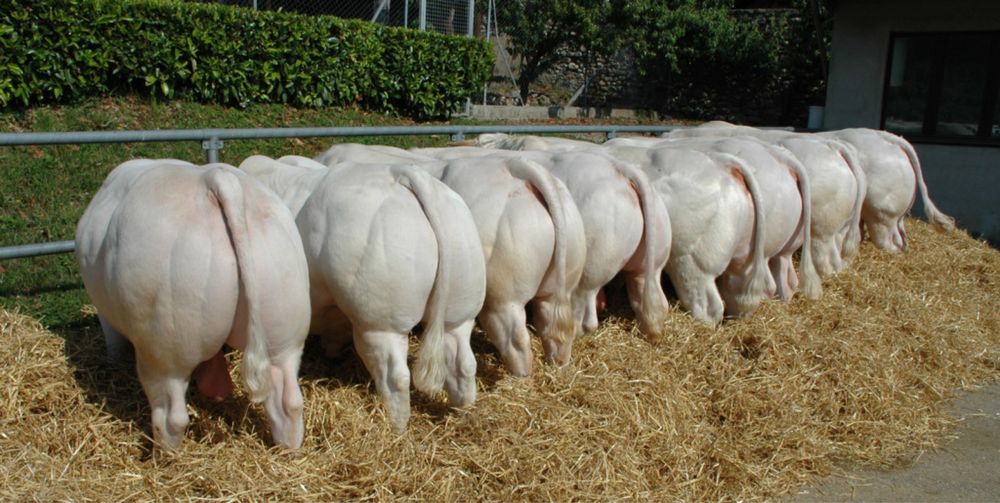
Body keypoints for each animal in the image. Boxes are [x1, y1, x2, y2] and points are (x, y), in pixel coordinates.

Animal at [75, 159, 311, 451]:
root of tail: (216, 181)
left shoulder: (105, 315)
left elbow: (114, 345)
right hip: (283, 326)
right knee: (289, 401)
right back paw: (288, 450)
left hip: (165, 344)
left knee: (171, 417)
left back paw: (164, 455)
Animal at [239, 156, 486, 432]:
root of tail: (403, 174)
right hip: (460, 308)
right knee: (464, 361)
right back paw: (463, 410)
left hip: (380, 324)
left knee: (396, 377)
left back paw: (397, 427)